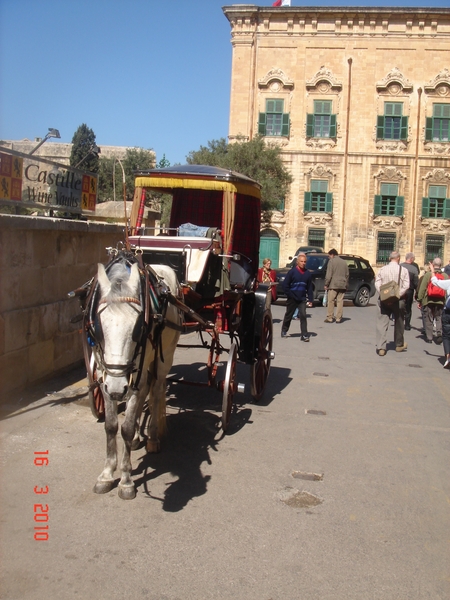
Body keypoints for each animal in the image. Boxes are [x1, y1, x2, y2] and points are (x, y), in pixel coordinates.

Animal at [92, 260, 182, 500]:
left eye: (138, 327)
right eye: (99, 326)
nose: (117, 389)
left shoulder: (132, 376)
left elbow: (127, 427)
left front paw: (125, 480)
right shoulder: (105, 376)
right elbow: (111, 426)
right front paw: (106, 474)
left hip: (164, 355)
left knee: (156, 391)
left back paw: (152, 437)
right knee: (145, 393)